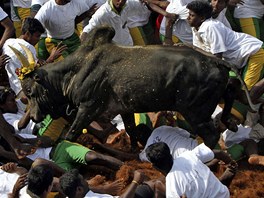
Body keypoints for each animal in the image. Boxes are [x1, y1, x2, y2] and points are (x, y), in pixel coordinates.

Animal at [22, 25, 250, 148]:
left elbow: (71, 134)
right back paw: (230, 122)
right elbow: (131, 130)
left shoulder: (88, 108)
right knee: (231, 90)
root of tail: (215, 61)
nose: (32, 116)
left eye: (30, 92)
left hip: (196, 113)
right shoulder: (125, 109)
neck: (75, 70)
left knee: (211, 136)